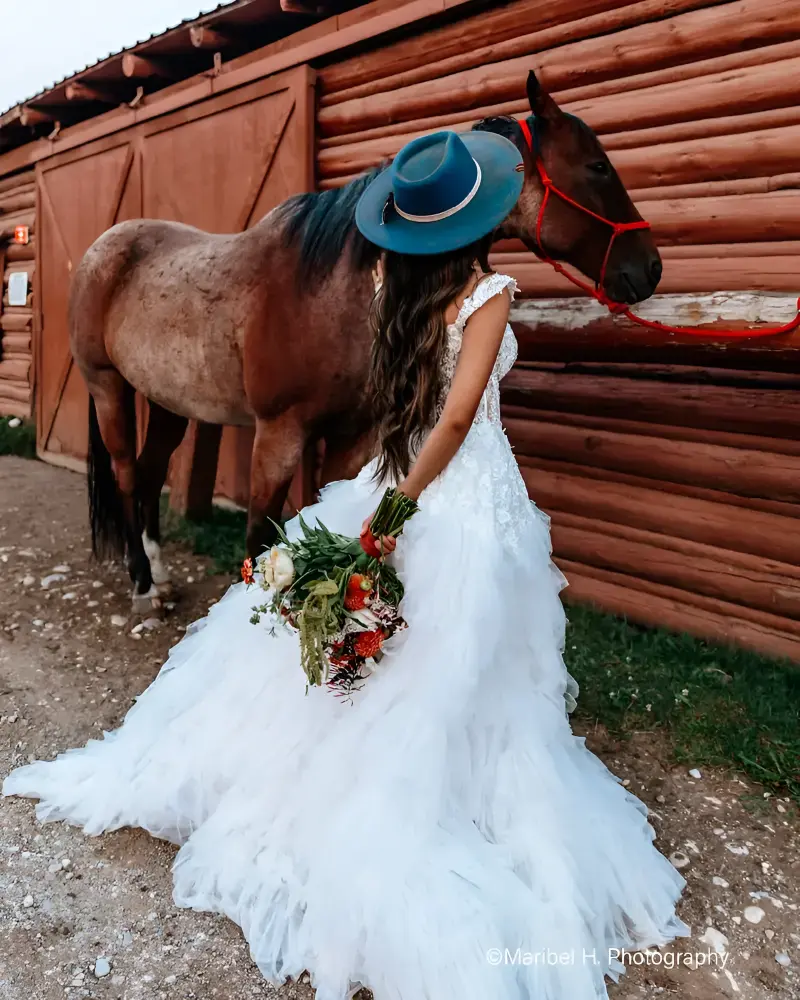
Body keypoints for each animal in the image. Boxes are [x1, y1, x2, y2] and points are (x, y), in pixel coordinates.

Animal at [71, 70, 661, 614]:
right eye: (597, 166)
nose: (649, 267)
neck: (327, 294)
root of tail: (101, 249)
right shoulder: (278, 434)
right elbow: (259, 535)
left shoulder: (351, 435)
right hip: (107, 388)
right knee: (127, 474)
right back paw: (143, 586)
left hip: (168, 401)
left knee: (150, 473)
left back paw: (161, 574)